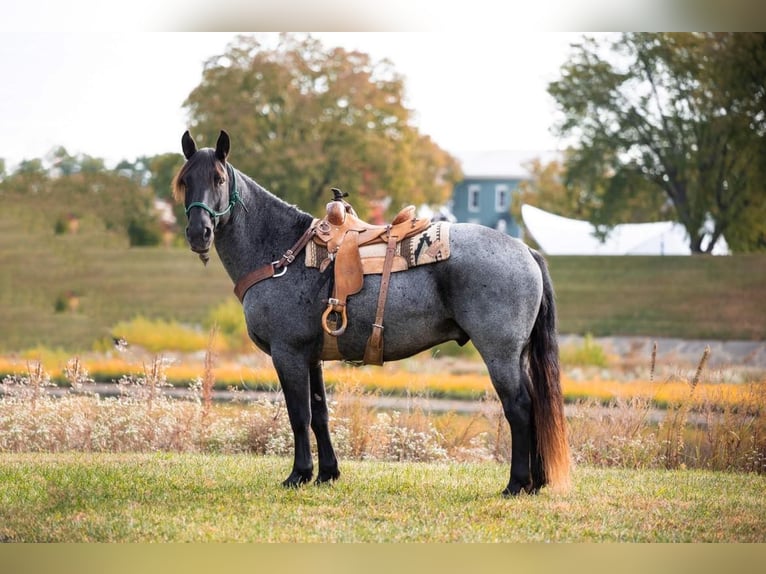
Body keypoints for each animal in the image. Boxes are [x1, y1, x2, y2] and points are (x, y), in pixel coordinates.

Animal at [174, 129, 568, 496]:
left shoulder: (288, 354)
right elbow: (319, 413)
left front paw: (299, 474)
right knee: (534, 405)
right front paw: (327, 473)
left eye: (218, 179)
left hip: (499, 353)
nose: (199, 232)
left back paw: (517, 483)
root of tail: (524, 250)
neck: (282, 254)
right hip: (515, 355)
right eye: (185, 180)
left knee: (519, 407)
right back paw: (535, 482)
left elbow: (299, 415)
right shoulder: (311, 357)